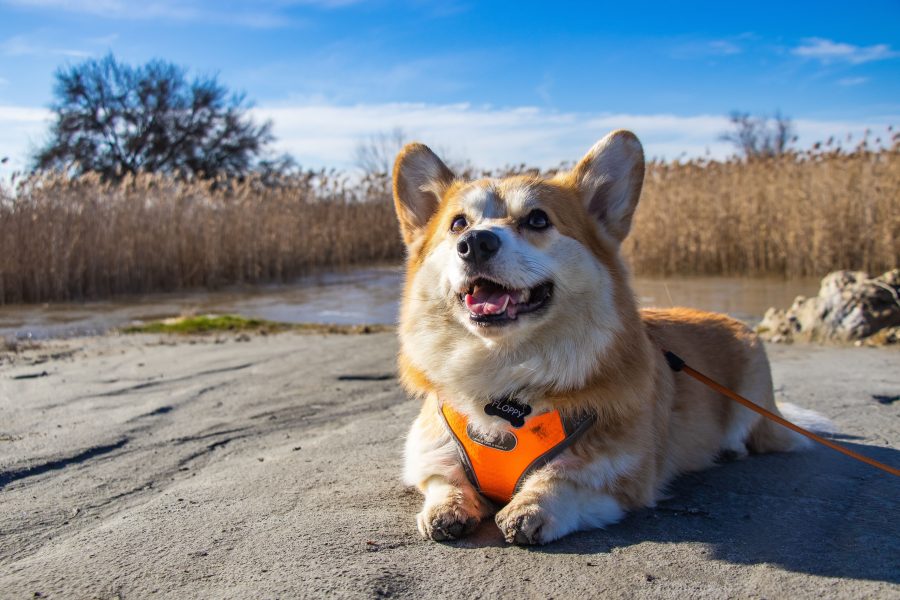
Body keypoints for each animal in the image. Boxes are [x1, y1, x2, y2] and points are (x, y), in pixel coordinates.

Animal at [390, 130, 804, 544]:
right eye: (458, 224)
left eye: (537, 219)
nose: (475, 243)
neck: (506, 373)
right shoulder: (431, 451)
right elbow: (444, 477)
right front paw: (448, 507)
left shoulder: (623, 476)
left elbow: (562, 479)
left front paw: (530, 507)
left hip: (753, 389)